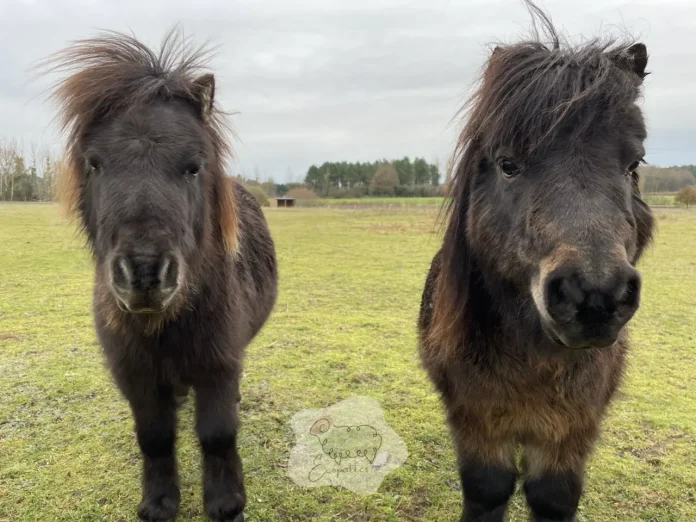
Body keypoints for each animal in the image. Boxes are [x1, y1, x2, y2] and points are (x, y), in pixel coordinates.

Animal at [42, 29, 277, 522]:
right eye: (94, 163)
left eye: (193, 166)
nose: (146, 273)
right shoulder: (136, 375)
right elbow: (154, 437)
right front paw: (158, 501)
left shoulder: (218, 365)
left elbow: (218, 434)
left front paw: (226, 503)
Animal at [417, 4, 655, 521]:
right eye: (508, 164)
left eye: (634, 165)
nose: (594, 296)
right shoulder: (478, 421)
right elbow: (488, 489)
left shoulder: (571, 430)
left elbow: (553, 495)